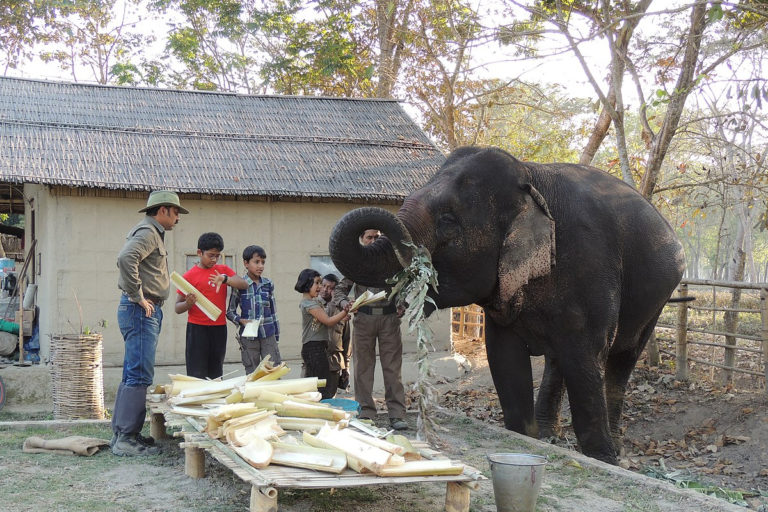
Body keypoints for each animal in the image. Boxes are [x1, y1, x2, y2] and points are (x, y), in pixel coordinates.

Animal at [328, 145, 684, 464]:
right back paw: (549, 435)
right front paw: (527, 438)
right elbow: (504, 358)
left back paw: (617, 450)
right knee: (559, 359)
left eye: (447, 221)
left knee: (622, 359)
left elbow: (587, 358)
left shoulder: (591, 266)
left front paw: (602, 458)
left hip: (658, 298)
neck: (531, 178)